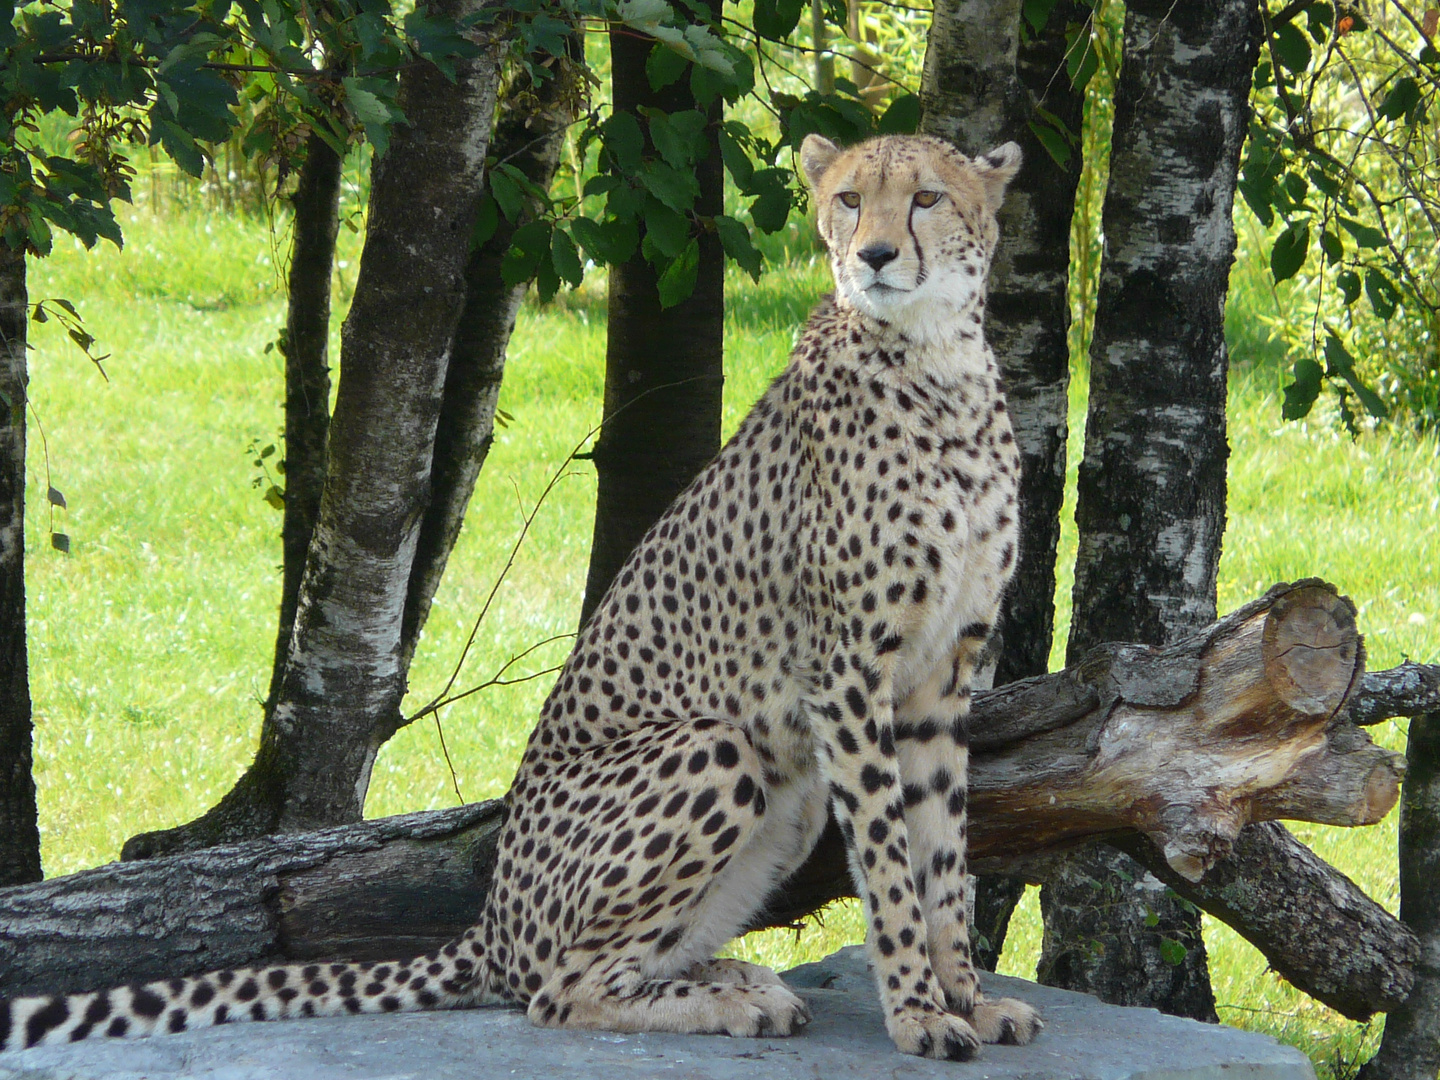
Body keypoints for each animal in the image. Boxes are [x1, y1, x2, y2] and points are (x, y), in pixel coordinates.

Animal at [2, 131, 1036, 1059]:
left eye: (927, 199)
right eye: (850, 199)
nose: (874, 256)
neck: (937, 365)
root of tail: (492, 917)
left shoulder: (943, 672)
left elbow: (945, 853)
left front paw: (967, 998)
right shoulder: (849, 672)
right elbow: (893, 863)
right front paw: (917, 1016)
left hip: (788, 798)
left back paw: (728, 979)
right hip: (715, 746)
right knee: (553, 991)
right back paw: (725, 1000)